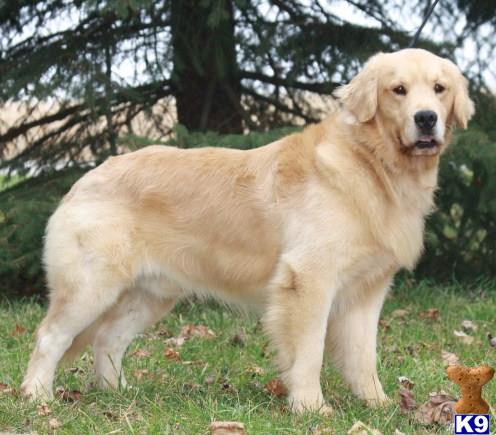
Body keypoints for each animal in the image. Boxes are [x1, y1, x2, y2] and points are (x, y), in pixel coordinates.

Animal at [21, 49, 474, 414]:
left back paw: (117, 394)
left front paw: (378, 405)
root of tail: (83, 180)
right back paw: (37, 397)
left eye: (439, 89)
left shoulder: (368, 290)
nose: (426, 119)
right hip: (91, 285)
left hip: (151, 293)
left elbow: (364, 356)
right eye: (398, 90)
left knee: (107, 340)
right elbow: (309, 351)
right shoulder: (308, 279)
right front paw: (310, 408)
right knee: (49, 337)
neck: (372, 163)